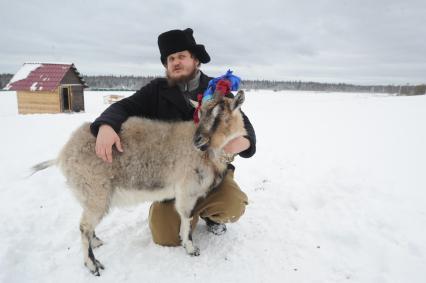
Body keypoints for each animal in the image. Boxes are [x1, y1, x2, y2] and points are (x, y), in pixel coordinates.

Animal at [31, 90, 246, 276]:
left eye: (221, 115)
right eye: (200, 113)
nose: (197, 140)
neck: (209, 154)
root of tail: (63, 155)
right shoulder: (186, 190)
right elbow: (186, 217)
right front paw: (191, 248)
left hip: (89, 195)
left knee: (86, 226)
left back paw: (97, 242)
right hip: (96, 192)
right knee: (84, 227)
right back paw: (93, 265)